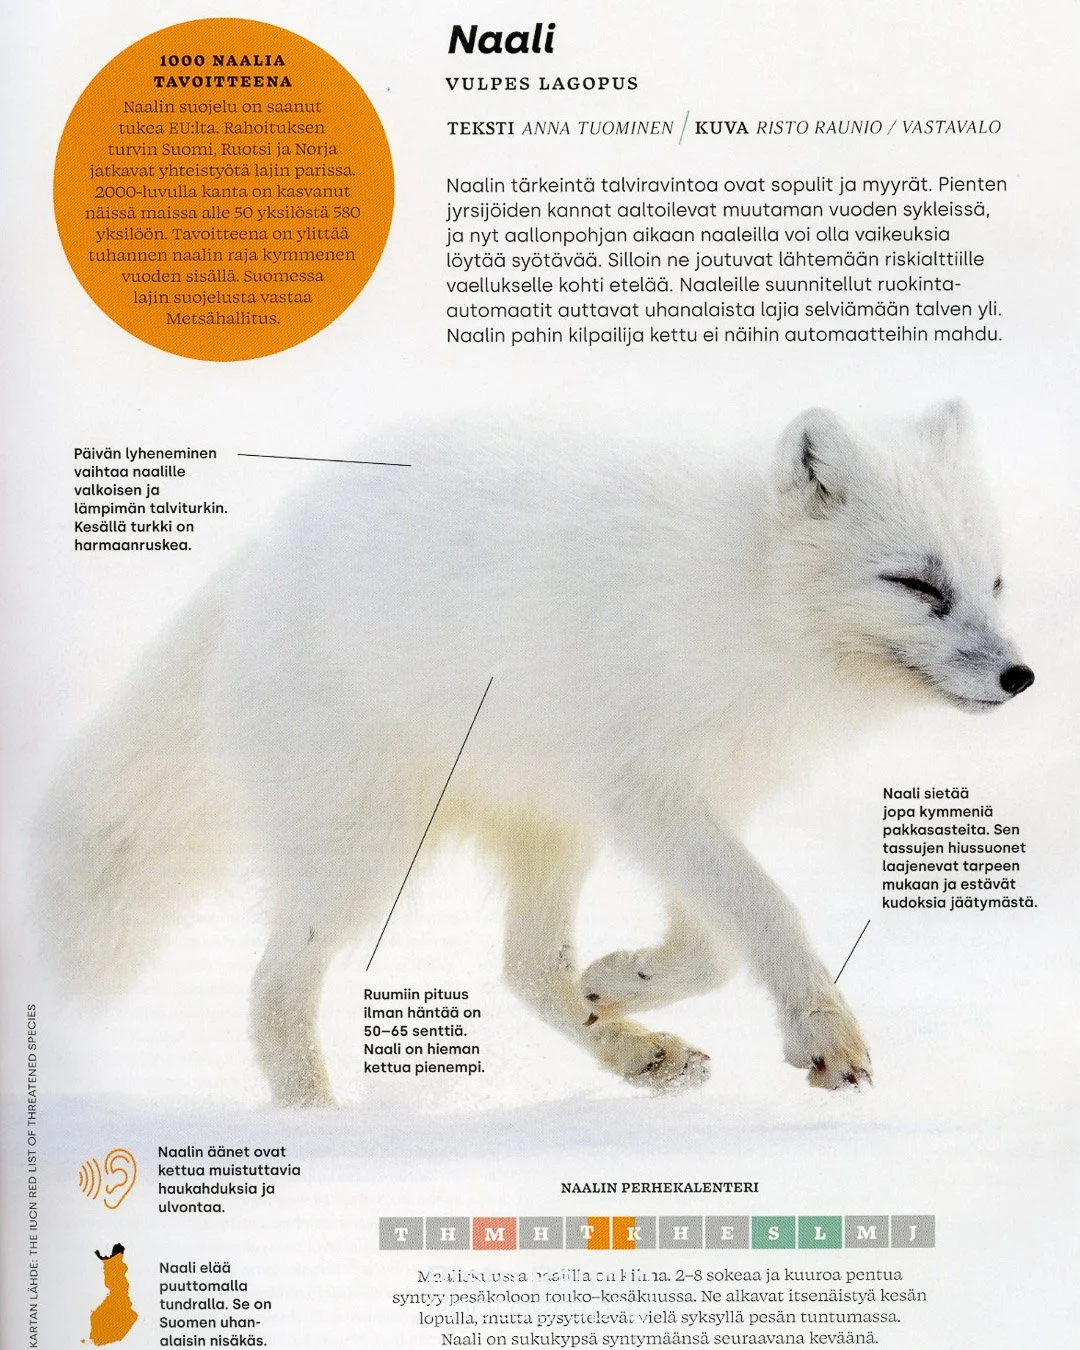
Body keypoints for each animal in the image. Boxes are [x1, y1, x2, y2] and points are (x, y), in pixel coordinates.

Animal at [36, 401, 1033, 1106]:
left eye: (993, 581)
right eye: (916, 585)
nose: (1021, 676)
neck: (748, 596)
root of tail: (262, 555)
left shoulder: (699, 795)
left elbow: (714, 943)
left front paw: (621, 979)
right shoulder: (648, 792)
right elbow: (765, 912)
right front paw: (825, 1035)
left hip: (549, 826)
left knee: (525, 969)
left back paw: (635, 1047)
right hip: (366, 849)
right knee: (274, 985)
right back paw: (319, 1127)